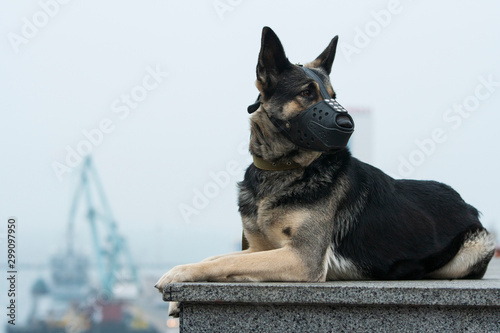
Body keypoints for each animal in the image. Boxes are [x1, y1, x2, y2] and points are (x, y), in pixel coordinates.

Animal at [155, 27, 496, 316]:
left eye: (333, 94)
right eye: (307, 93)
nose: (347, 124)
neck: (284, 170)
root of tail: (467, 205)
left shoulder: (301, 258)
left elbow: (220, 261)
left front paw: (177, 273)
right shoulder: (260, 248)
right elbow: (216, 258)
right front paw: (178, 296)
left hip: (473, 249)